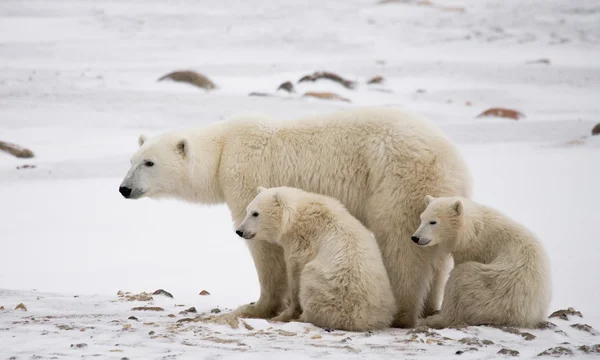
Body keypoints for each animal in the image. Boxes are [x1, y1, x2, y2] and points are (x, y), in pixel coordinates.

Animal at [236, 187, 398, 330]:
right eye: (247, 211)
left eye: (255, 213)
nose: (239, 231)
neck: (298, 215)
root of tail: (360, 319)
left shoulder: (302, 243)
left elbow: (295, 273)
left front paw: (285, 314)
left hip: (327, 287)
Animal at [412, 195, 548, 328]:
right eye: (421, 218)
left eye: (433, 221)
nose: (415, 238)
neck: (474, 229)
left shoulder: (475, 250)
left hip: (493, 289)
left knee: (459, 280)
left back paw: (432, 319)